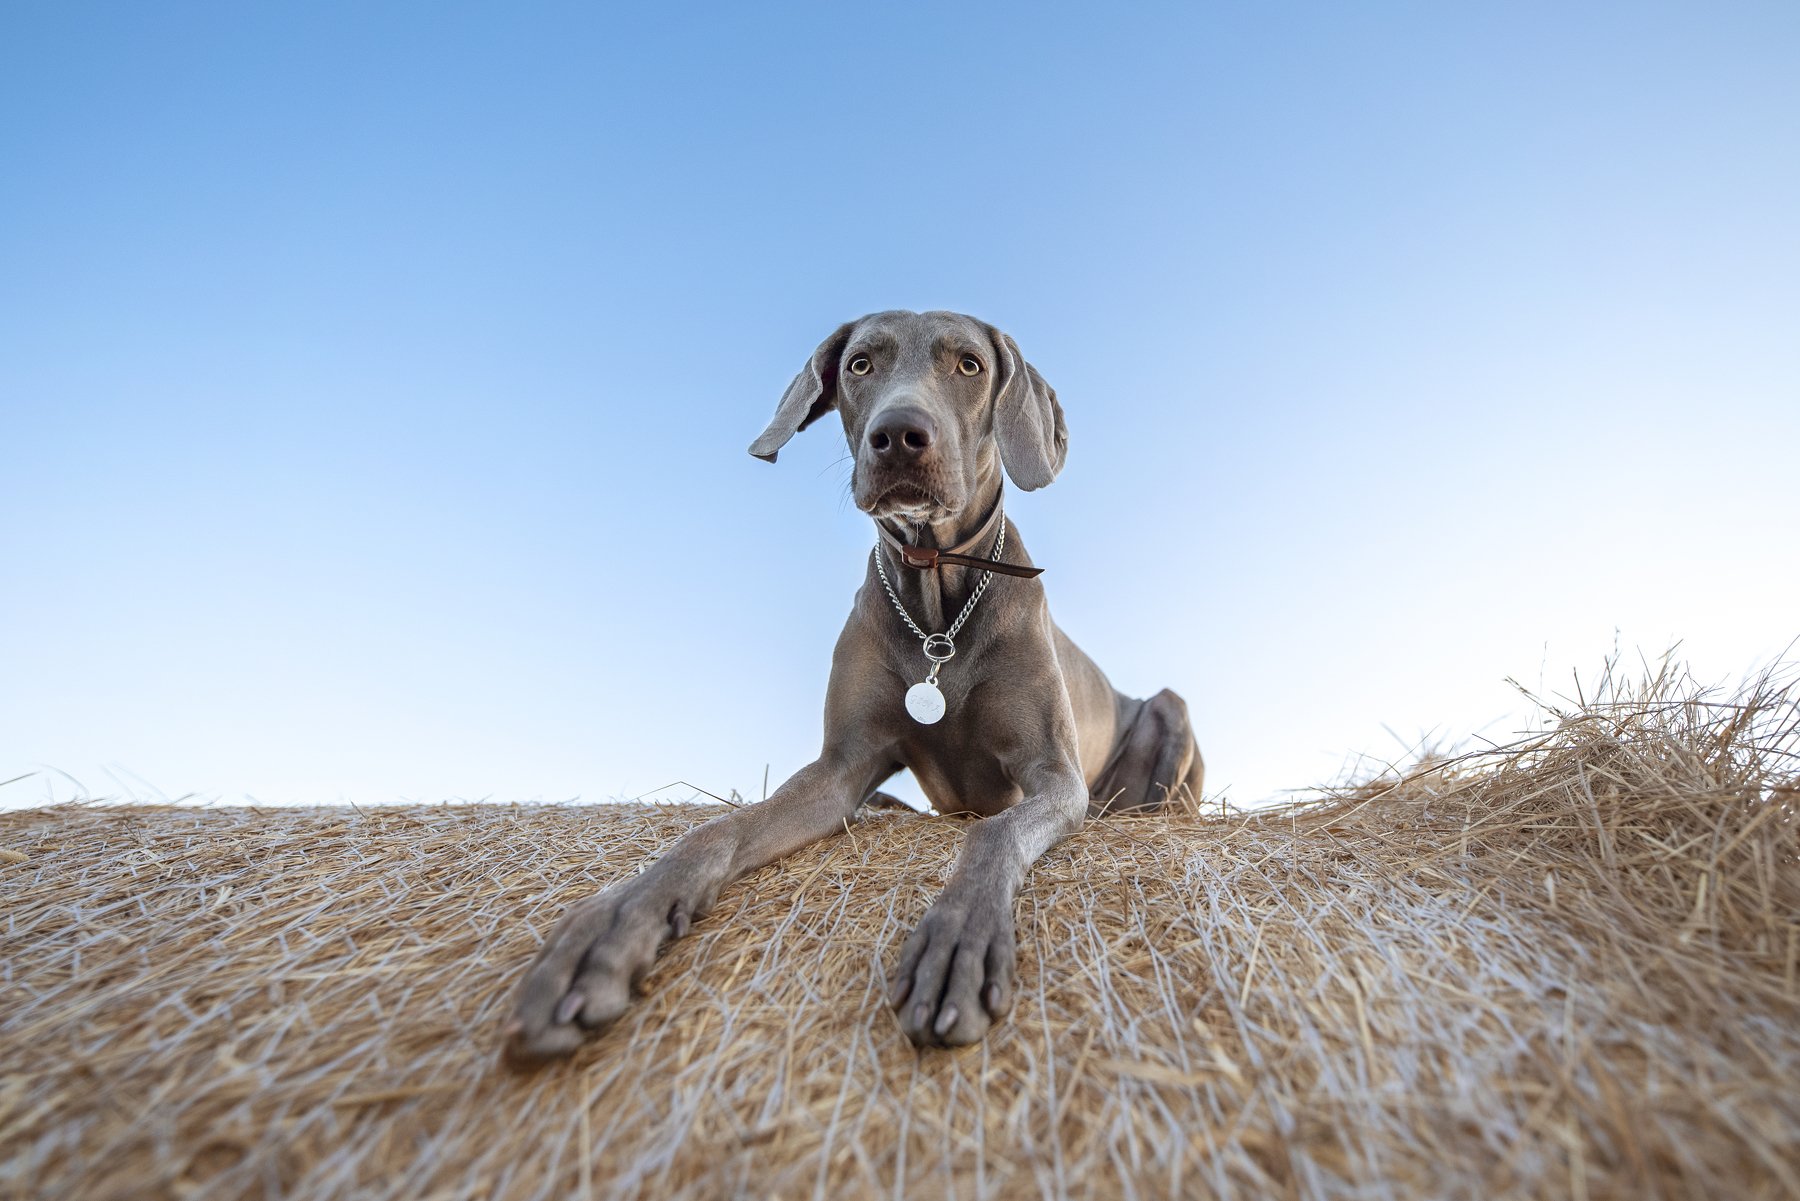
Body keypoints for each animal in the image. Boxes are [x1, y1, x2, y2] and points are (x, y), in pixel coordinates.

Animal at [507, 307, 1202, 1058]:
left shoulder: (1054, 777)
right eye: (860, 365)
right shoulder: (839, 769)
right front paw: (609, 928)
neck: (938, 608)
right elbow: (718, 828)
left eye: (969, 364)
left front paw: (957, 941)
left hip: (1168, 714)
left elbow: (994, 836)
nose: (898, 435)